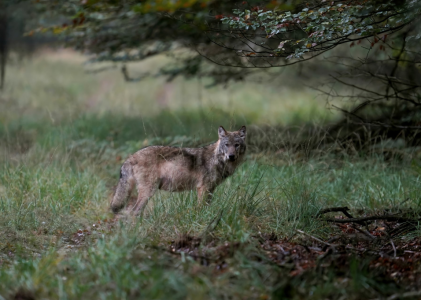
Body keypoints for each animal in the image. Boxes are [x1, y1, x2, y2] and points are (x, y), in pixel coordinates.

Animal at [110, 125, 246, 214]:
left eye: (237, 145)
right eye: (227, 145)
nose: (231, 156)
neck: (217, 160)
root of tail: (131, 157)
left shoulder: (211, 189)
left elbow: (207, 206)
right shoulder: (203, 188)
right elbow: (200, 208)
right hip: (148, 191)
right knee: (134, 211)